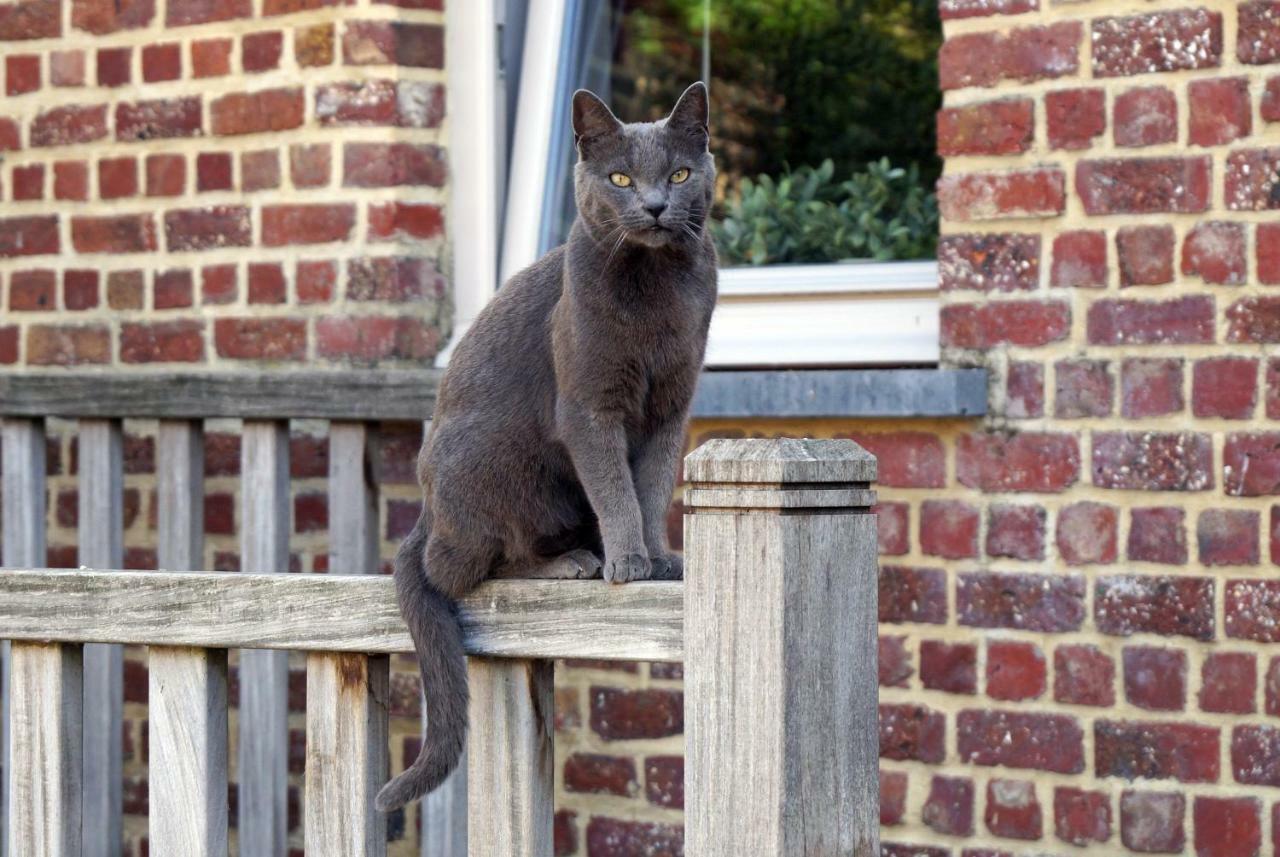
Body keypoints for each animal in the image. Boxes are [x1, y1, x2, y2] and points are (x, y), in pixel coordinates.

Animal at [376, 82, 721, 813]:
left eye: (679, 174)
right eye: (620, 179)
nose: (654, 205)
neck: (657, 291)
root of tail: (424, 514)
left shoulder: (671, 406)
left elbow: (651, 485)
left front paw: (659, 557)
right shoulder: (589, 405)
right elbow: (616, 486)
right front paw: (628, 561)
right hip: (498, 466)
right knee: (461, 569)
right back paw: (572, 563)